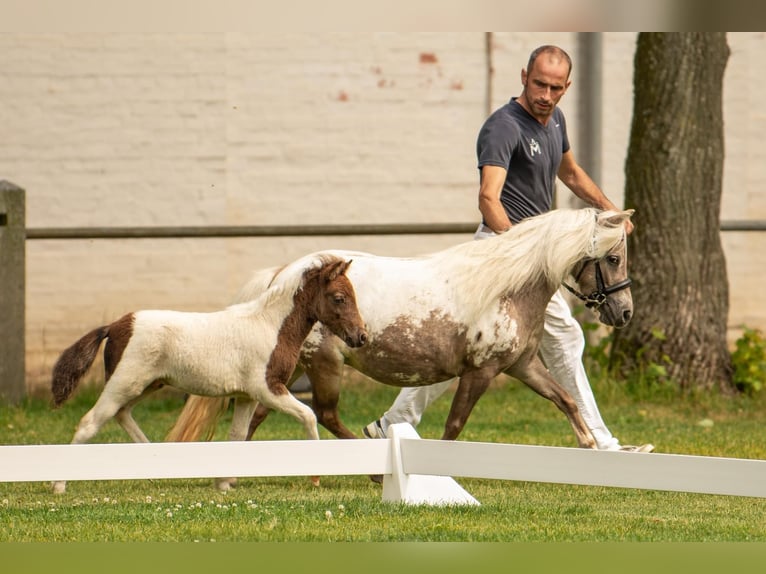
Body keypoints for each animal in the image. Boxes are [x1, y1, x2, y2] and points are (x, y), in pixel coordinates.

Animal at [49, 256, 368, 496]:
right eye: (339, 298)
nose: (361, 336)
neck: (270, 326)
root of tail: (115, 325)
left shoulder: (247, 397)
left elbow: (237, 435)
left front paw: (223, 483)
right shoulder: (268, 389)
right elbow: (308, 415)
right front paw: (315, 476)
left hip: (145, 385)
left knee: (122, 414)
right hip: (124, 383)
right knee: (91, 422)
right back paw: (59, 485)